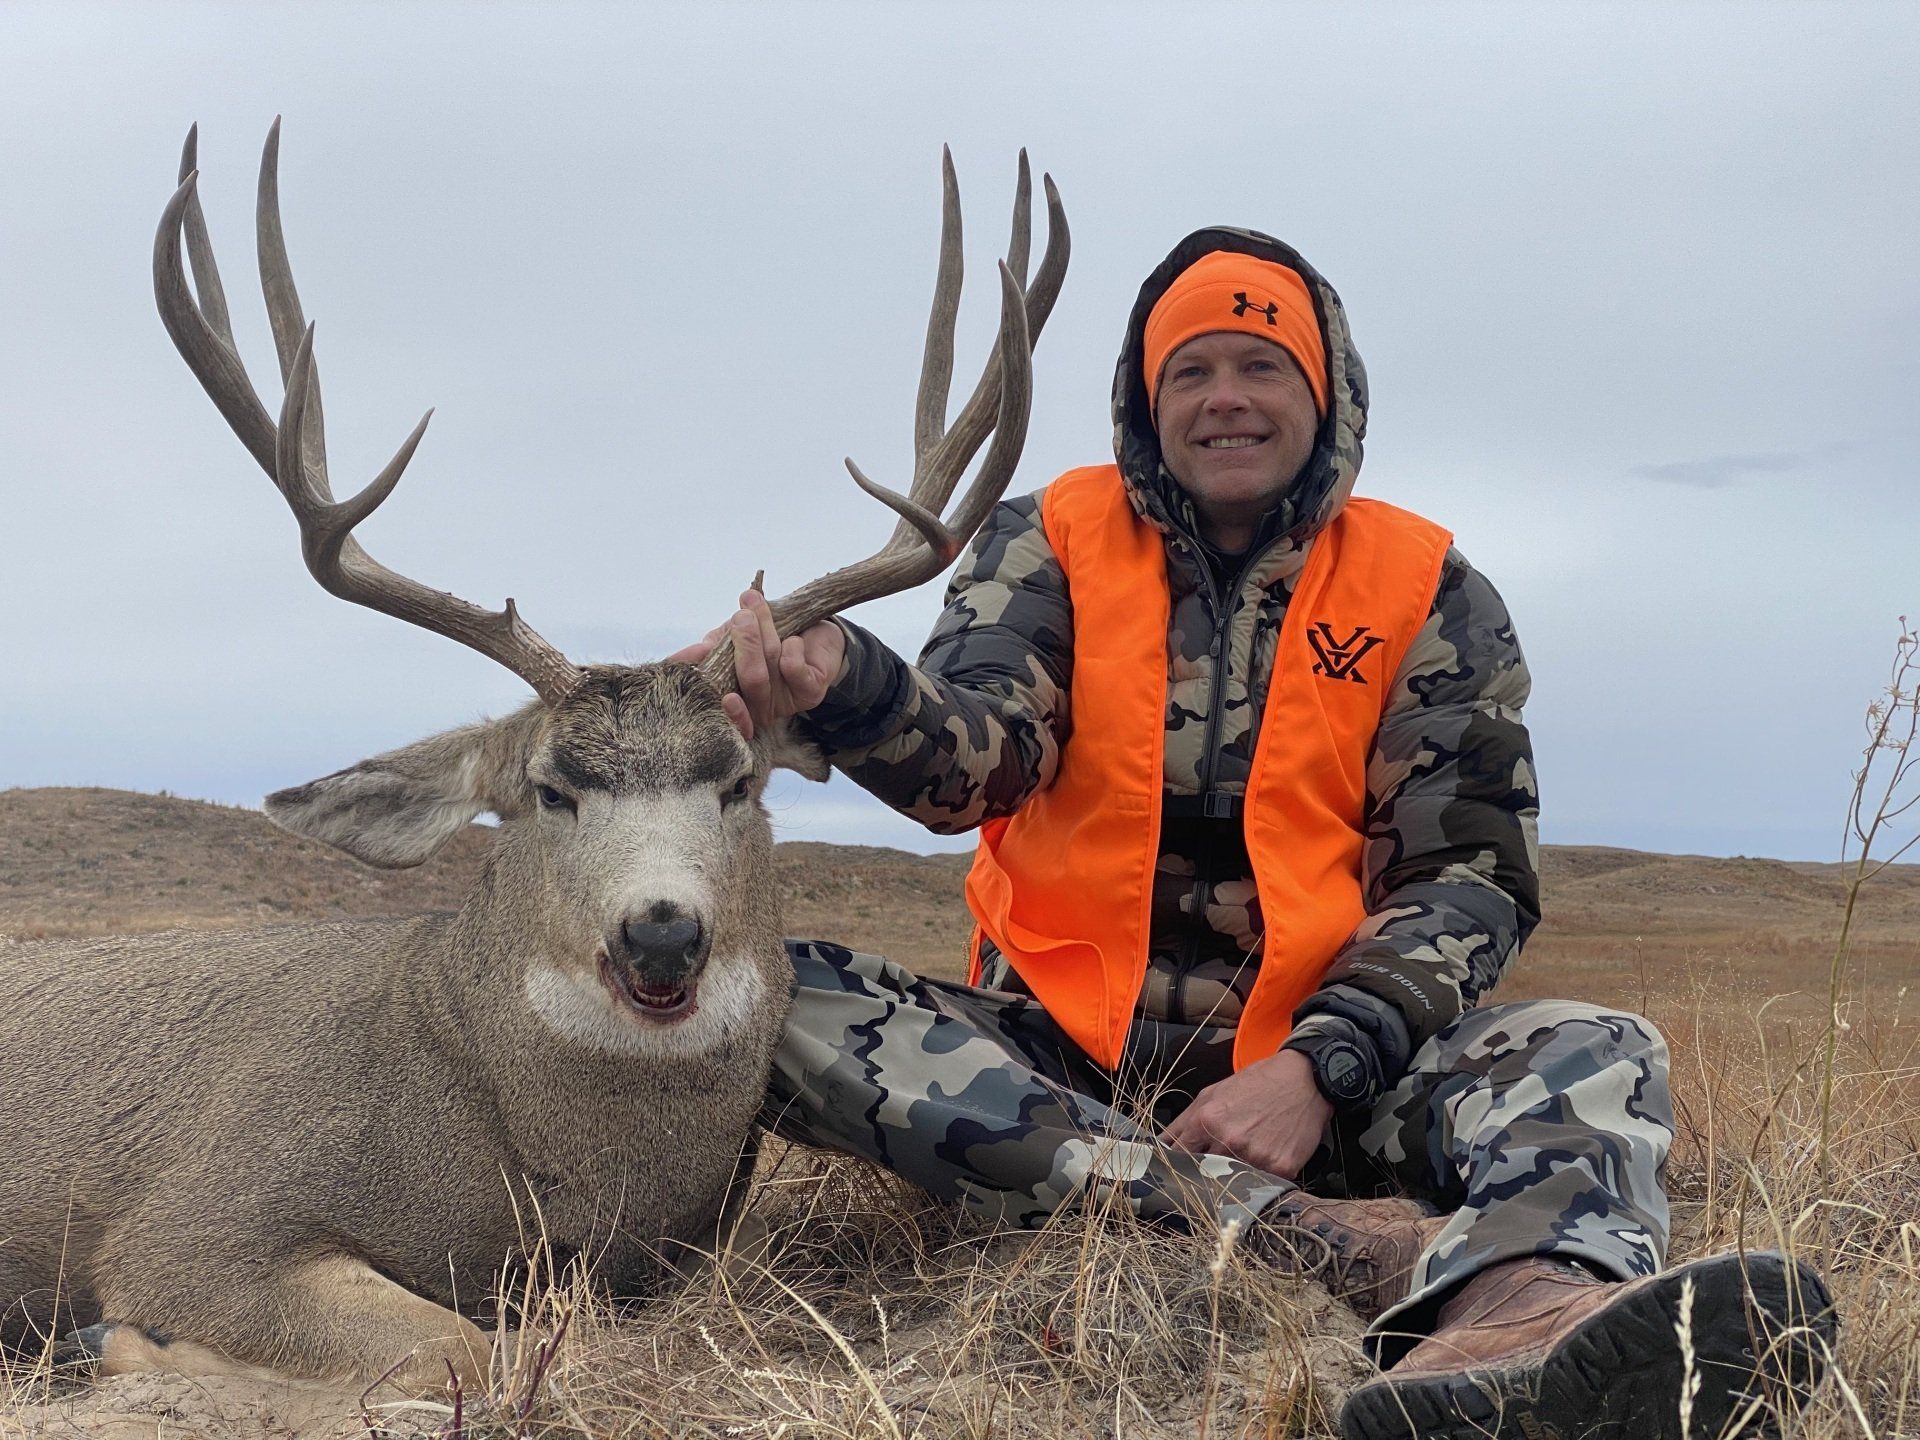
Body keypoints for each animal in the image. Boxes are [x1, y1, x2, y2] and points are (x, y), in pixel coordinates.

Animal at [0, 121, 1067, 1391]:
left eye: (739, 782)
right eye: (550, 791)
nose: (662, 930)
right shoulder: (197, 1216)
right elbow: (455, 1346)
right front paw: (130, 1347)